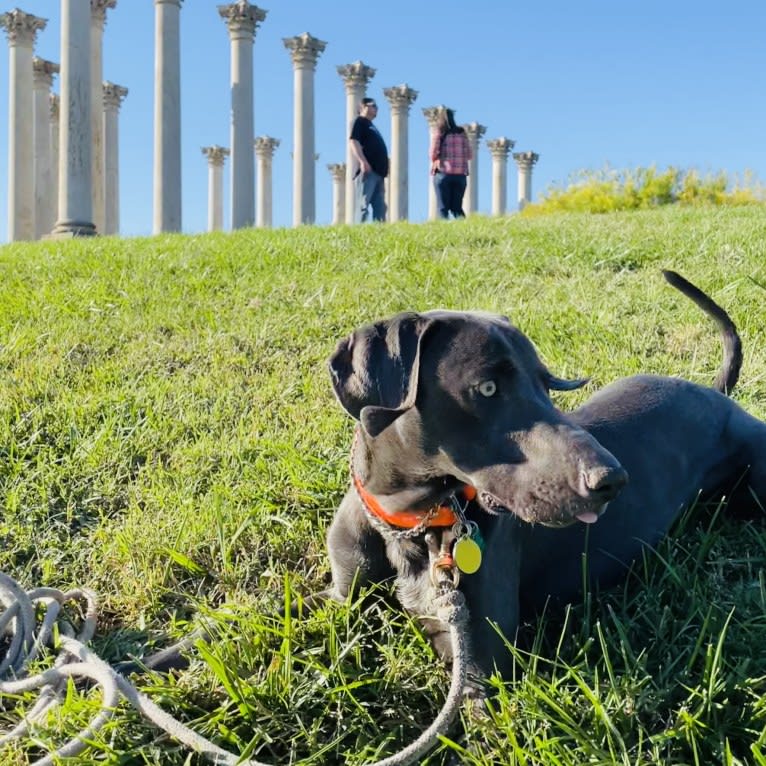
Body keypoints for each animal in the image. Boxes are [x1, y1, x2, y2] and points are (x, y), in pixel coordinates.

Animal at [320, 272, 764, 696]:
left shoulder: (479, 670)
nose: (613, 480)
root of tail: (715, 394)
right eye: (487, 388)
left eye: (545, 384)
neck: (406, 520)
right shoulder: (341, 597)